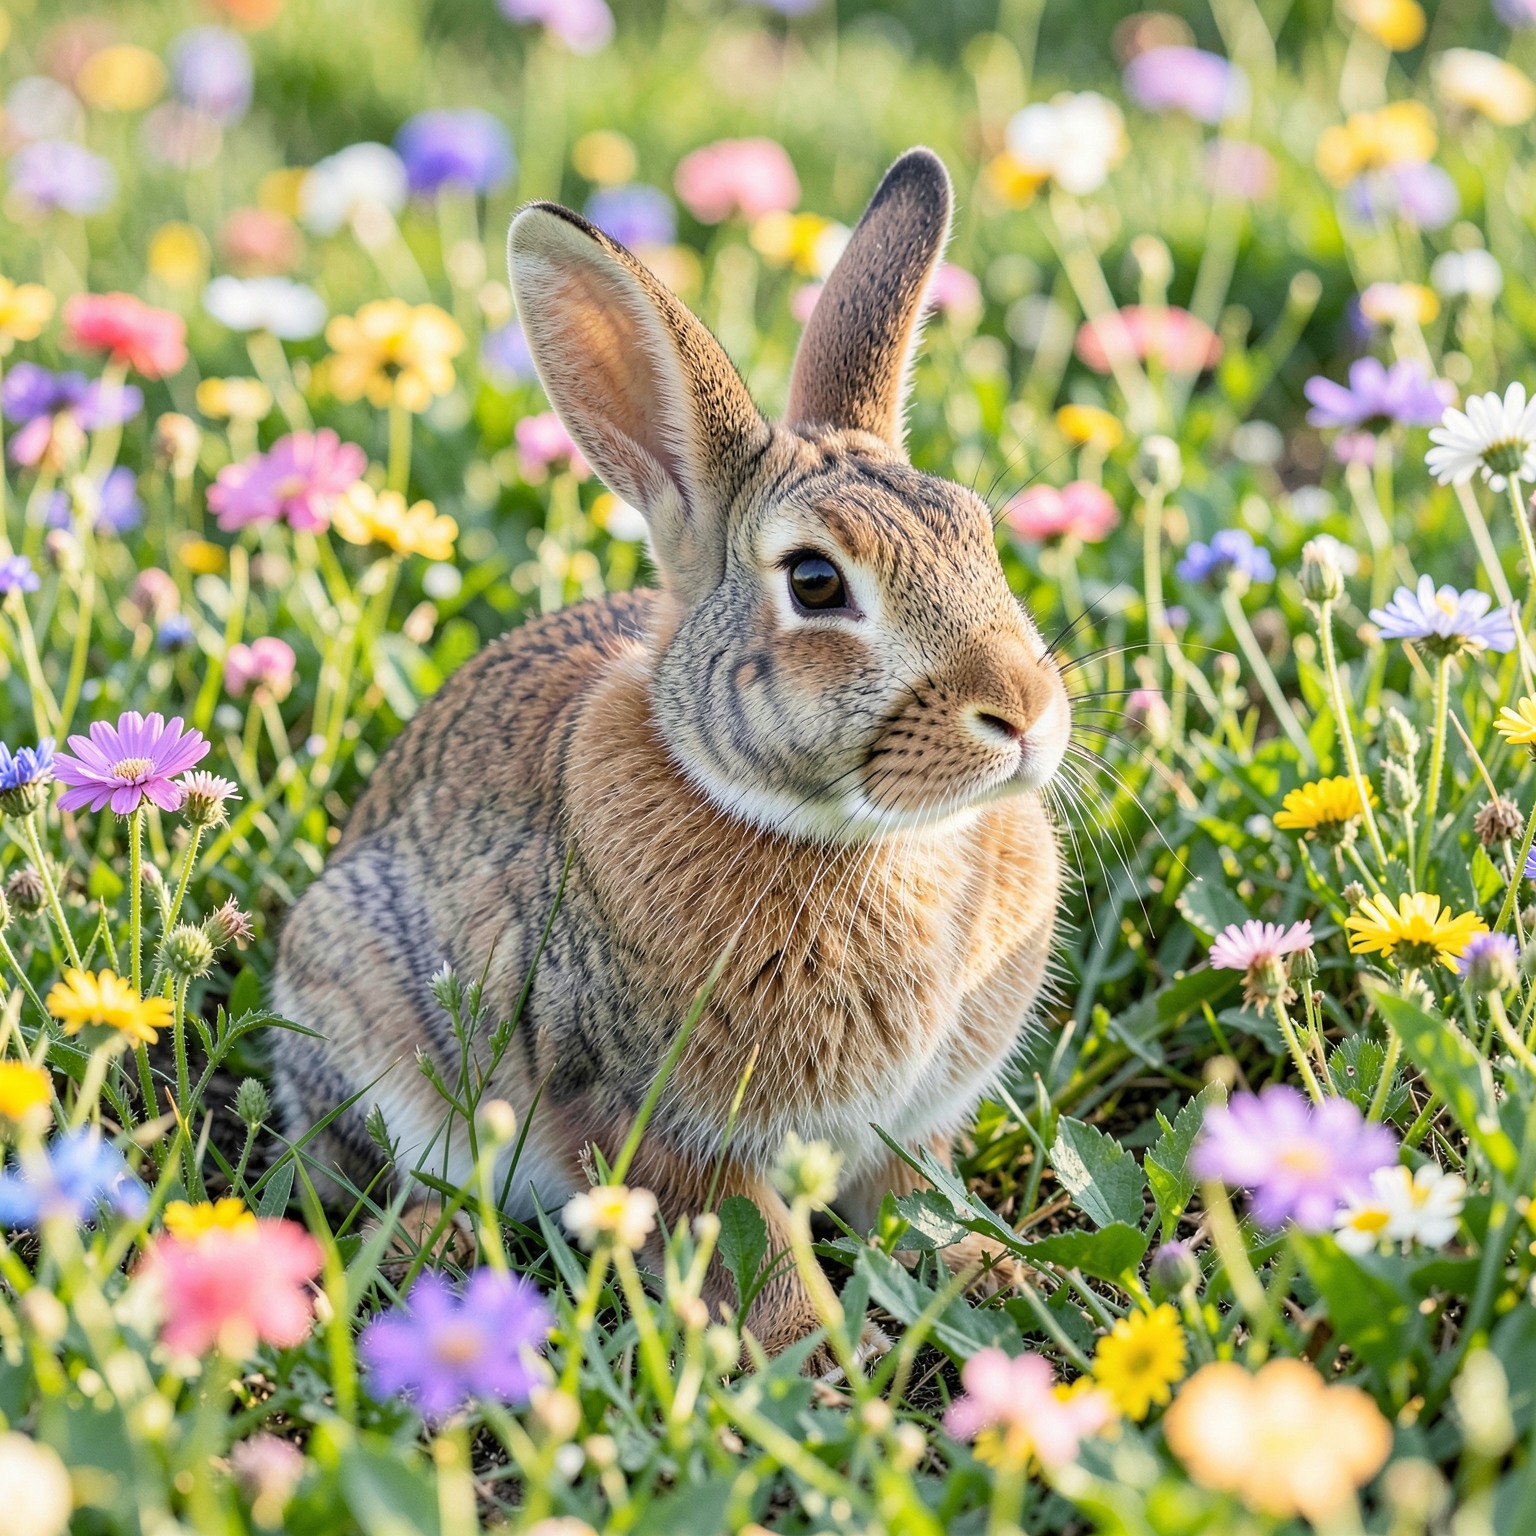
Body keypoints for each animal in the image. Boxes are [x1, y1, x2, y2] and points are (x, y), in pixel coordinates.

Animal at [270, 146, 1069, 1368]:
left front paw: (990, 1273)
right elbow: (760, 1247)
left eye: (978, 534)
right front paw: (812, 1361)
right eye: (817, 583)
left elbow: (918, 1207)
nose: (1022, 713)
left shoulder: (910, 1130)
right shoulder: (658, 1129)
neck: (850, 835)